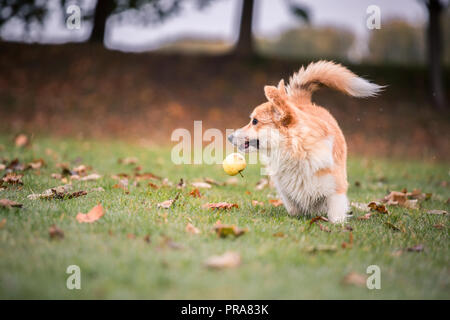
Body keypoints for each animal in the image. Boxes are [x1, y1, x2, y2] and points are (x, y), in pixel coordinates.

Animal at [230, 61, 382, 224]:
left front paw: (337, 224)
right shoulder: (285, 191)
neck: (296, 150)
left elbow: (335, 214)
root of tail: (303, 103)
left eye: (254, 121)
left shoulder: (336, 189)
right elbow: (293, 207)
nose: (229, 137)